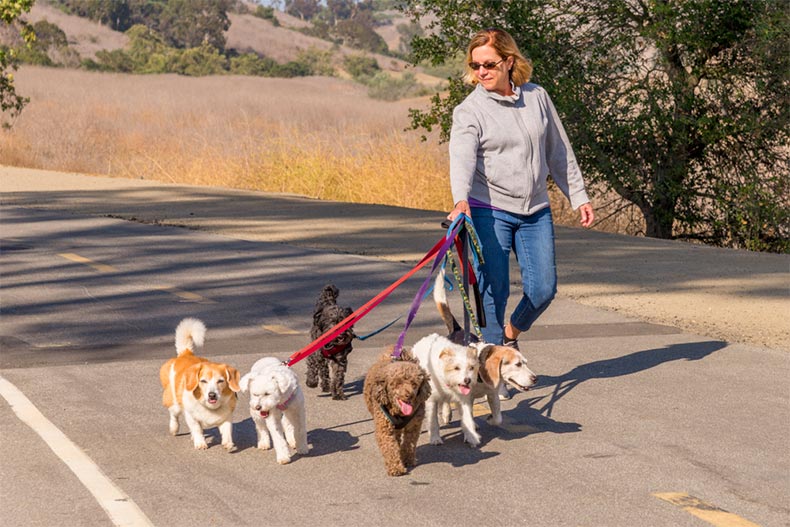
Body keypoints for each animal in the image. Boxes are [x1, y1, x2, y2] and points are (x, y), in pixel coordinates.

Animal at [157, 318, 238, 450]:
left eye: (221, 381)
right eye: (203, 381)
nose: (212, 395)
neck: (209, 407)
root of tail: (186, 353)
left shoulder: (226, 417)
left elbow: (227, 431)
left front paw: (228, 443)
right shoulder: (191, 416)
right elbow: (197, 429)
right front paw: (200, 443)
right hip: (175, 404)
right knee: (174, 416)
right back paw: (174, 429)